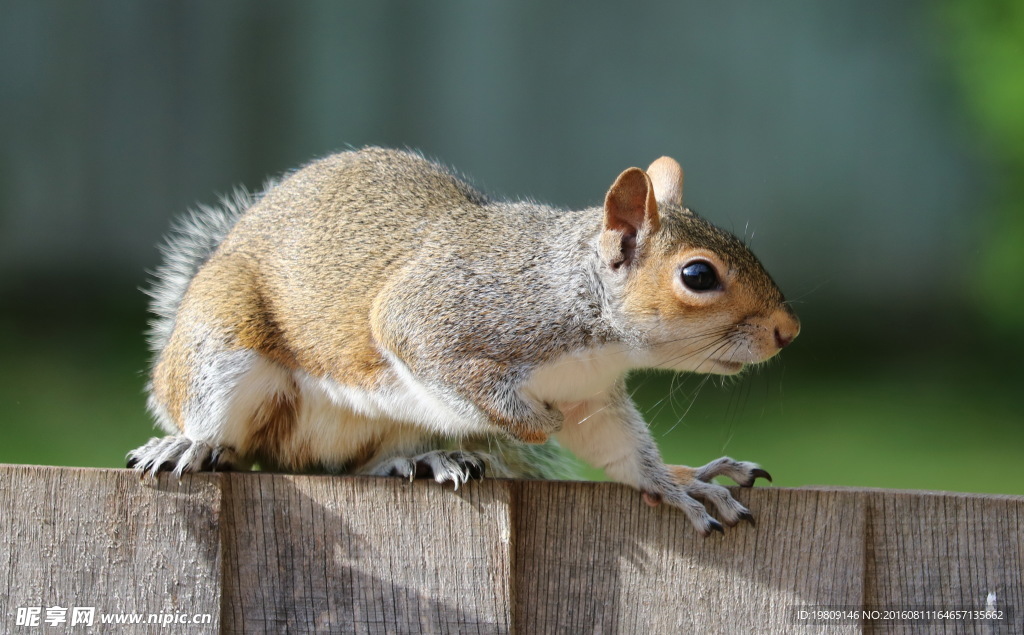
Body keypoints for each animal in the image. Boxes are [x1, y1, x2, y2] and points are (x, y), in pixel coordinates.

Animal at [128, 147, 798, 536]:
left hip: (382, 429)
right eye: (698, 276)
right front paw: (531, 423)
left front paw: (679, 484)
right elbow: (439, 360)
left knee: (352, 465)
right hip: (222, 346)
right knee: (226, 432)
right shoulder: (439, 316)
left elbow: (620, 451)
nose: (787, 332)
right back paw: (189, 445)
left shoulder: (591, 396)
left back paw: (423, 458)